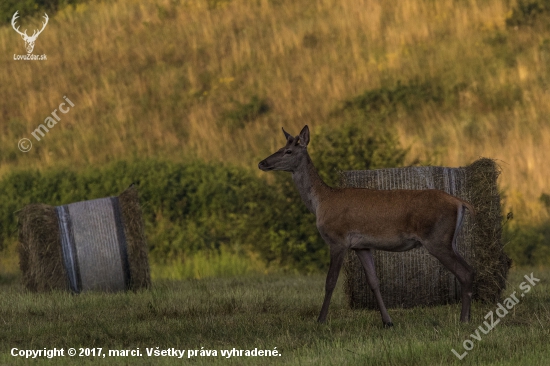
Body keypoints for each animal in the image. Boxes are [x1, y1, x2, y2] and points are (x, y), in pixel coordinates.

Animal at [256, 125, 476, 326]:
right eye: (280, 146)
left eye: (288, 151)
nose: (262, 162)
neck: (321, 202)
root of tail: (460, 202)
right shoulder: (361, 246)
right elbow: (374, 282)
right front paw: (387, 321)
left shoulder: (338, 240)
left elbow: (330, 282)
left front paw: (320, 320)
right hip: (450, 240)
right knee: (470, 270)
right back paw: (468, 317)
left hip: (436, 239)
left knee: (465, 273)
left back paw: (463, 320)